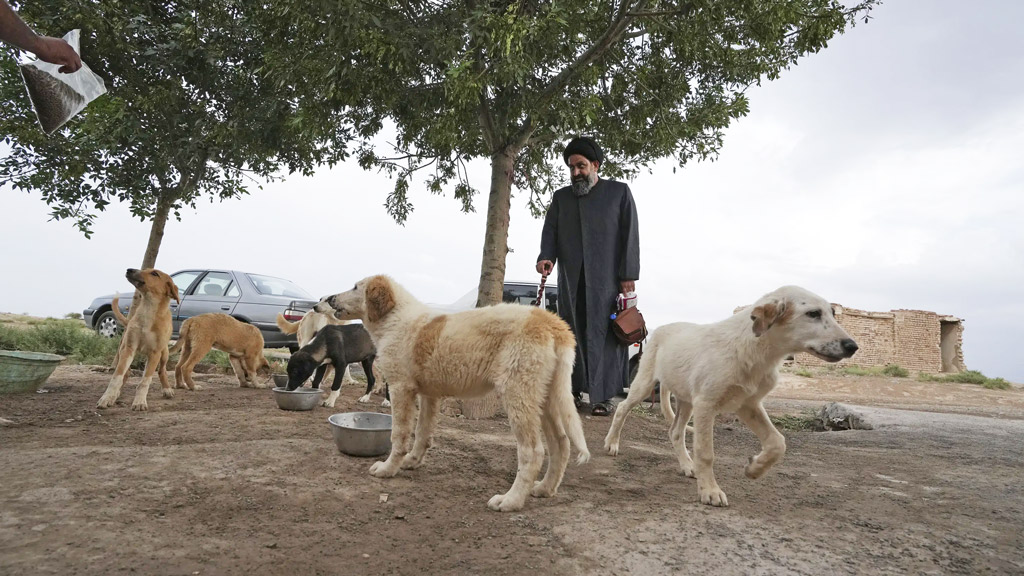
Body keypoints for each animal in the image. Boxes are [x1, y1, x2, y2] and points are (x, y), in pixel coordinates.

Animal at [96, 266, 180, 409]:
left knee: (161, 371)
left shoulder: (155, 353)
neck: (148, 310)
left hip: (164, 353)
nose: (129, 269)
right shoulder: (129, 348)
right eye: (146, 269)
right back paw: (115, 395)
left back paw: (167, 389)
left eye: (154, 273)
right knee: (127, 373)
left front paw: (140, 401)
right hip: (122, 349)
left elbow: (145, 381)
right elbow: (117, 377)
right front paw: (107, 397)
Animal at [319, 274, 593, 510]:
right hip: (546, 397)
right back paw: (545, 488)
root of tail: (553, 323)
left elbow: (399, 435)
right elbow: (422, 432)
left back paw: (511, 500)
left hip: (519, 394)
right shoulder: (429, 394)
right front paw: (412, 462)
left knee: (533, 452)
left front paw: (388, 469)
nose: (330, 298)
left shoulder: (400, 388)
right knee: (561, 443)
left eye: (356, 287)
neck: (394, 319)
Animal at [606, 284, 856, 504]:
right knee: (623, 408)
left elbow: (778, 442)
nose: (852, 346)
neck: (758, 351)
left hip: (687, 400)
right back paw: (612, 444)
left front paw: (754, 468)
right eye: (813, 313)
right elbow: (706, 453)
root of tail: (662, 327)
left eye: (833, 313)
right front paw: (710, 491)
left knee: (675, 432)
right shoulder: (706, 404)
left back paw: (687, 465)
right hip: (645, 384)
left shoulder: (748, 404)